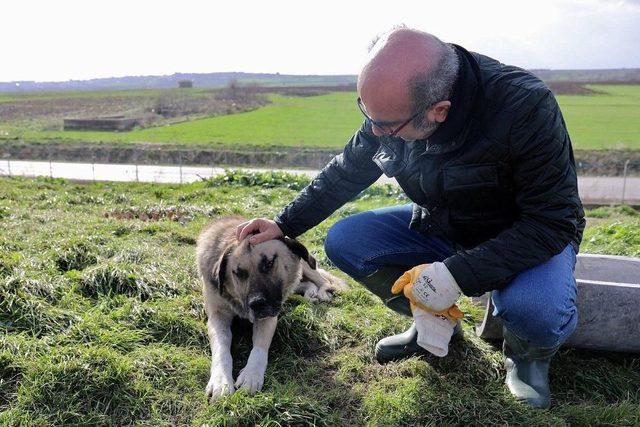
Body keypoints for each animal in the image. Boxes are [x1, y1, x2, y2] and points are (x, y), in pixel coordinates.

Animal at [195, 217, 344, 402]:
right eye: (238, 273)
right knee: (304, 283)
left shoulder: (269, 316)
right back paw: (311, 293)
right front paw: (221, 380)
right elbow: (222, 347)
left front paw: (251, 375)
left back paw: (322, 292)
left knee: (321, 278)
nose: (257, 304)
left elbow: (259, 346)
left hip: (305, 265)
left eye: (269, 263)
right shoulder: (217, 315)